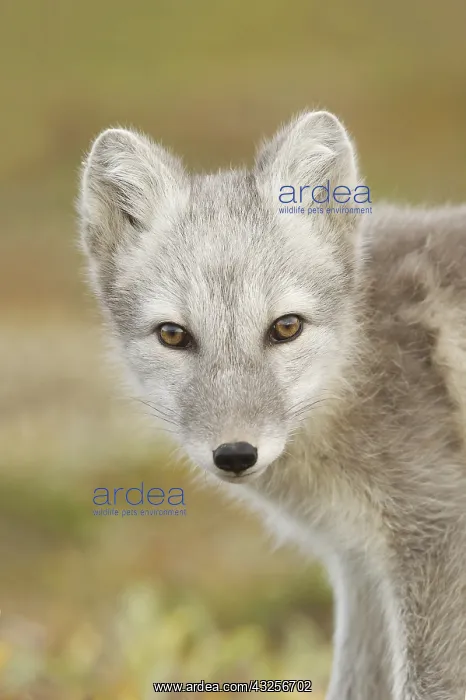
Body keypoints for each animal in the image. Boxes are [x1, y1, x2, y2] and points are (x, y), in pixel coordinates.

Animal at [78, 110, 466, 700]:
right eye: (173, 335)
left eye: (286, 327)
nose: (236, 454)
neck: (361, 368)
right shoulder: (360, 565)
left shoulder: (435, 537)